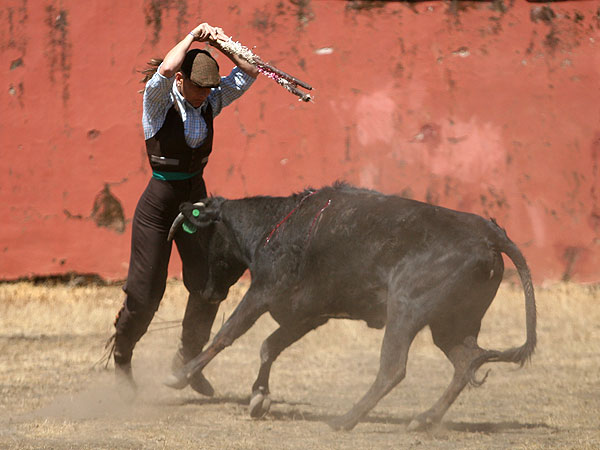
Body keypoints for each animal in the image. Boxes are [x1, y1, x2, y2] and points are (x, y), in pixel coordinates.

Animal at [163, 184, 536, 432]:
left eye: (203, 237)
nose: (207, 292)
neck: (275, 226)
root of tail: (491, 235)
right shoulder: (310, 314)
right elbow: (270, 346)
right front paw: (259, 398)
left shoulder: (262, 292)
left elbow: (228, 335)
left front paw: (181, 375)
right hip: (451, 323)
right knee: (466, 361)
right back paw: (423, 420)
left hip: (405, 309)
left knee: (393, 369)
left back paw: (345, 420)